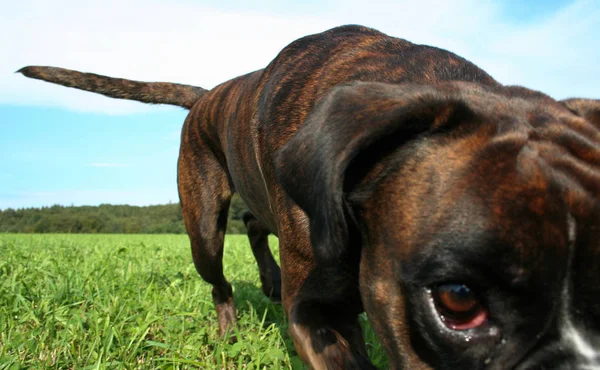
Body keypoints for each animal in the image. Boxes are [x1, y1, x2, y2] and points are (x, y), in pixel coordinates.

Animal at [18, 24, 600, 368]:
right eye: (459, 301)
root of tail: (208, 96)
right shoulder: (315, 315)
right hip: (201, 226)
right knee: (220, 277)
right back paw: (229, 330)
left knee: (255, 223)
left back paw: (269, 278)